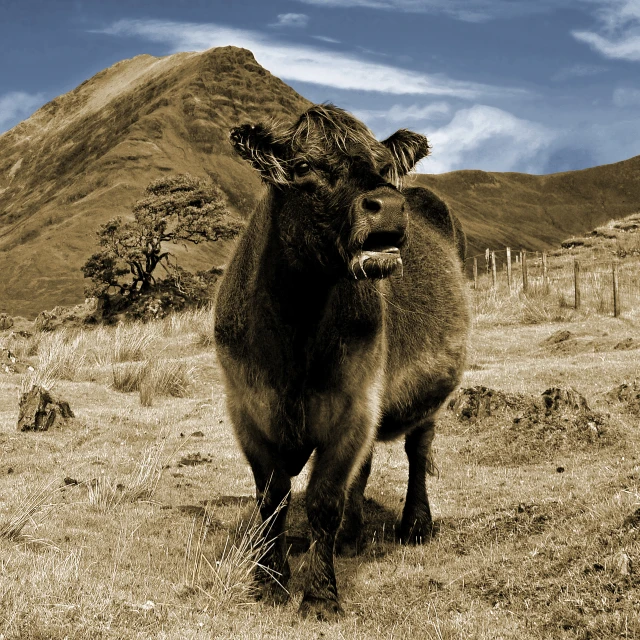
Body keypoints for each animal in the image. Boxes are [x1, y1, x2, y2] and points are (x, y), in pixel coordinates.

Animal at [215, 105, 470, 620]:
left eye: (383, 165)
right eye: (303, 167)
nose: (389, 205)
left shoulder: (352, 406)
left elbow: (323, 501)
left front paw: (319, 594)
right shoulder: (247, 408)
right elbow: (271, 500)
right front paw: (269, 582)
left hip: (422, 401)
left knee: (418, 451)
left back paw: (415, 525)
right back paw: (352, 538)